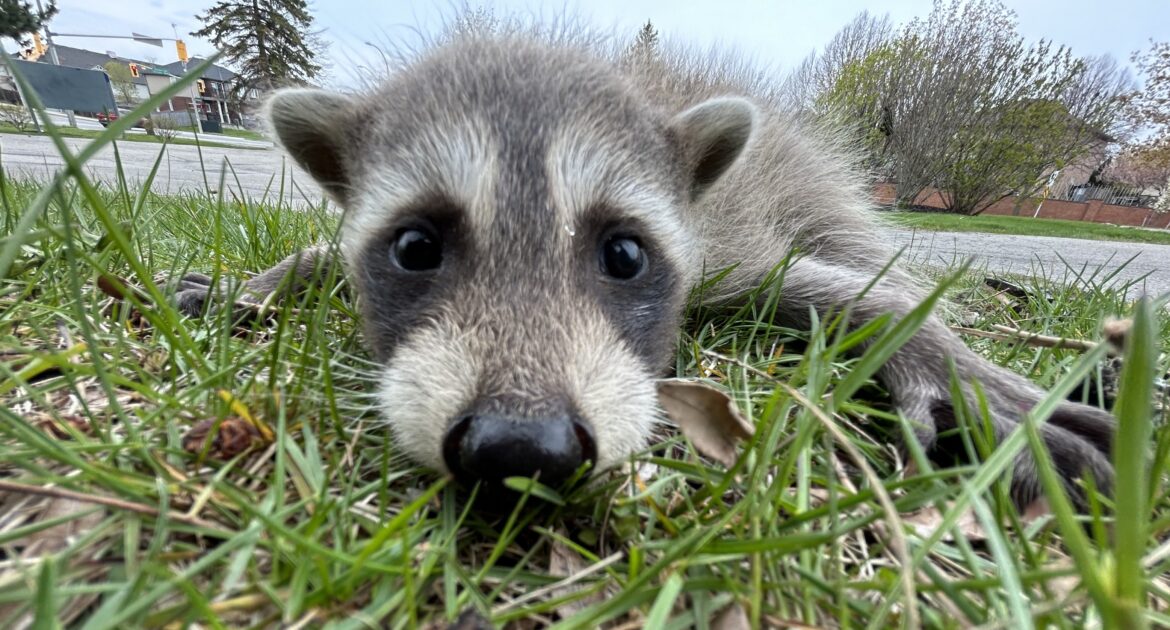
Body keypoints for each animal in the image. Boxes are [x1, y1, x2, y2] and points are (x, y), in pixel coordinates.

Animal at [173, 33, 1113, 505]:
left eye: (625, 253)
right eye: (413, 249)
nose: (521, 445)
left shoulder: (720, 239)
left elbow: (847, 290)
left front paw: (943, 355)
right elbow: (323, 251)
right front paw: (273, 277)